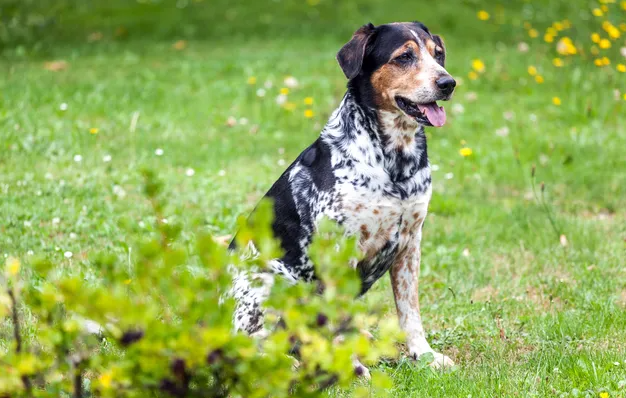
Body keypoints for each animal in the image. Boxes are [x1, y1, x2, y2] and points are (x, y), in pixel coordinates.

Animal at [229, 21, 454, 370]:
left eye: (438, 54)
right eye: (404, 57)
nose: (448, 83)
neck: (394, 163)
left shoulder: (410, 243)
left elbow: (410, 312)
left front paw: (425, 355)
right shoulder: (341, 250)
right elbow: (337, 317)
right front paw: (352, 368)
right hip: (269, 283)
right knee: (252, 343)